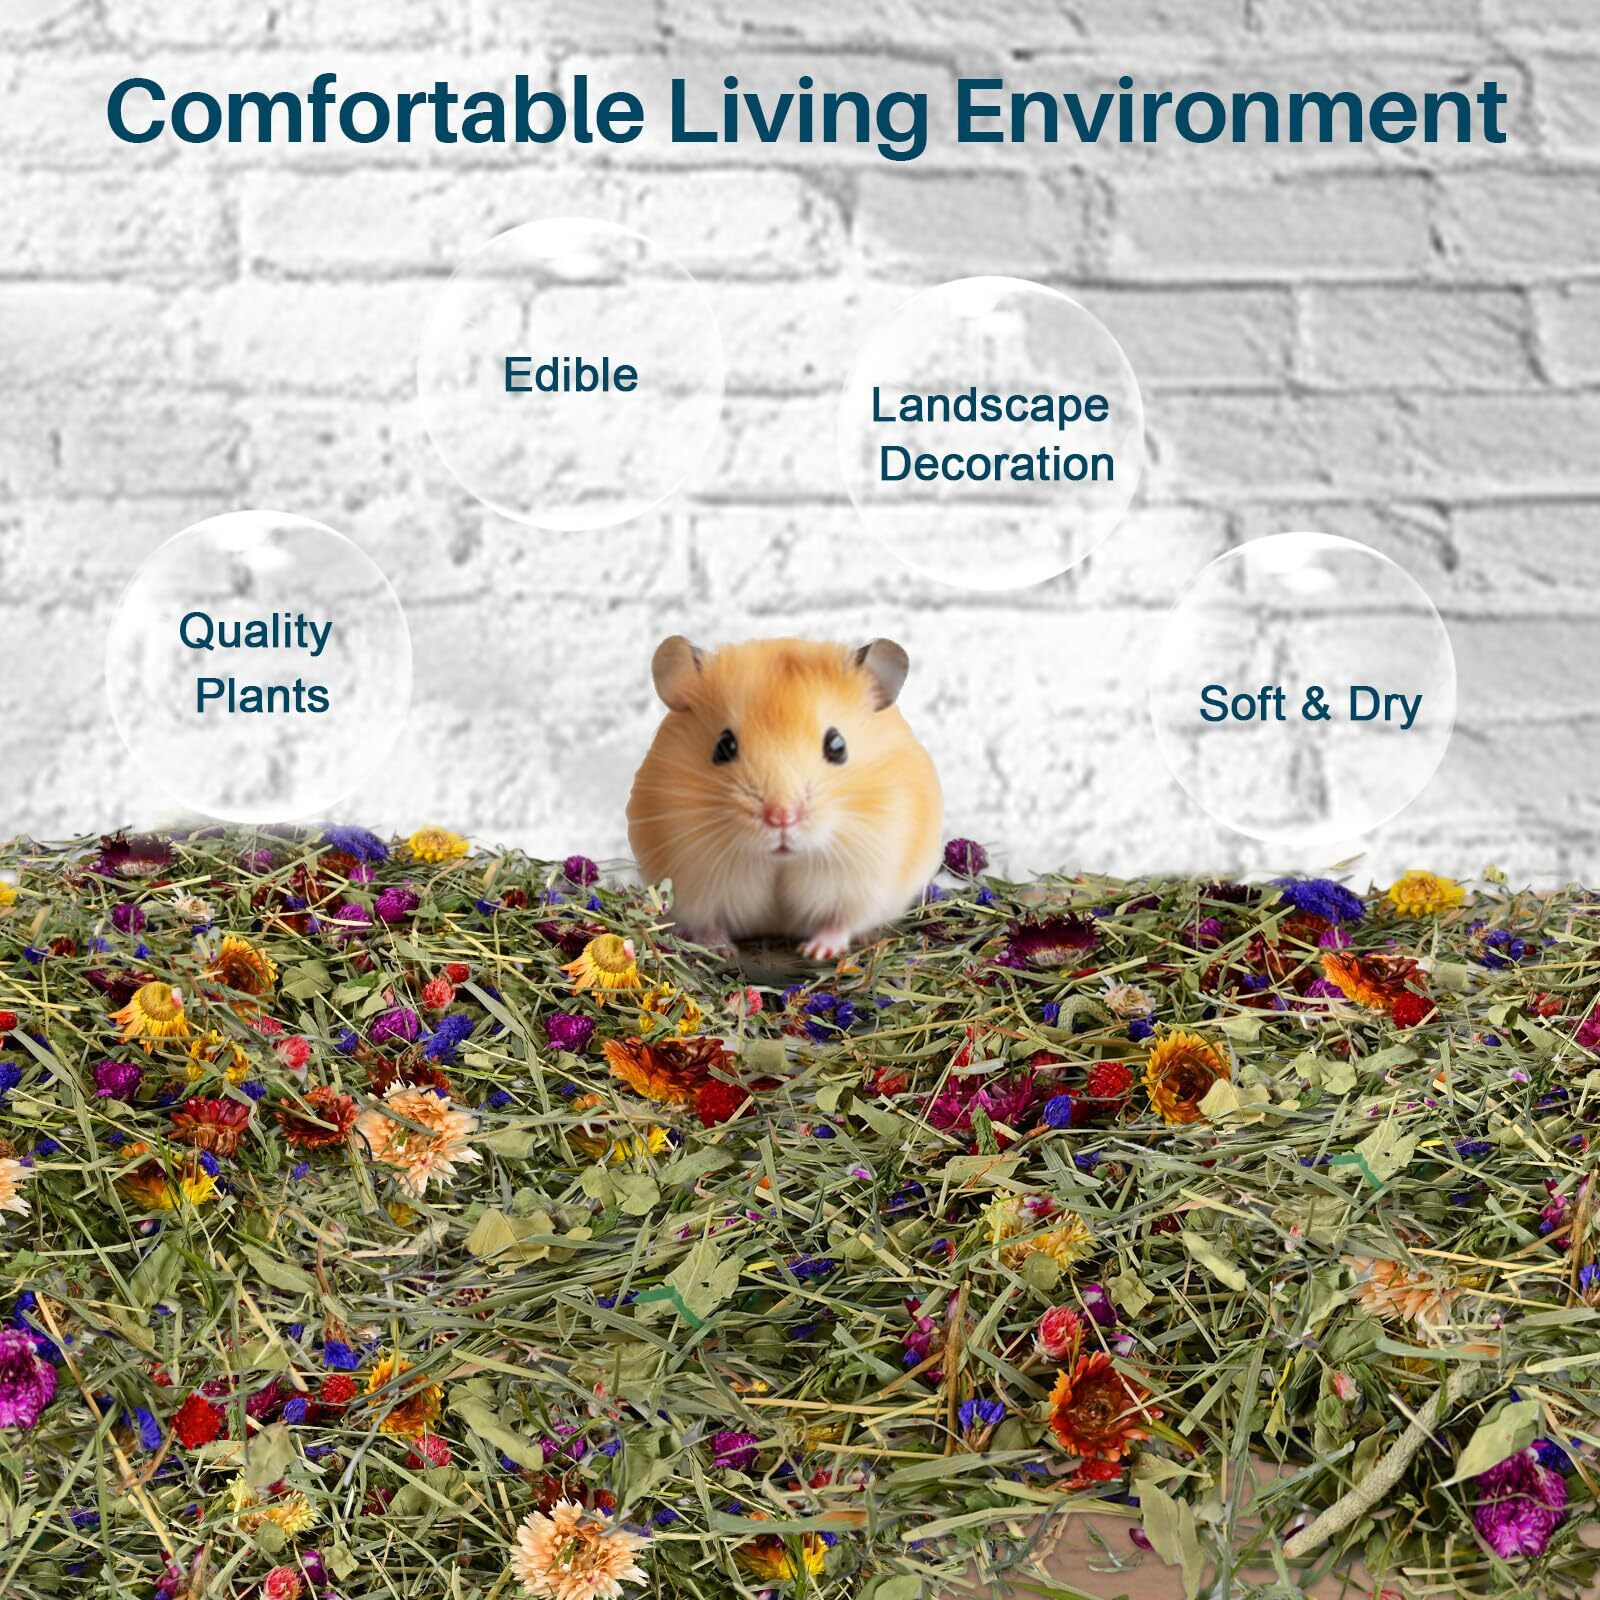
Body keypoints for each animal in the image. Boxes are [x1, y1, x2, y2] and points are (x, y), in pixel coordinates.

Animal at [627, 636, 943, 960]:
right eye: (724, 746)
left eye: (837, 746)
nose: (781, 817)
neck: (781, 860)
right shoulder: (692, 884)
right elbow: (707, 924)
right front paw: (723, 950)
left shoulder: (866, 881)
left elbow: (841, 921)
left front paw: (815, 952)